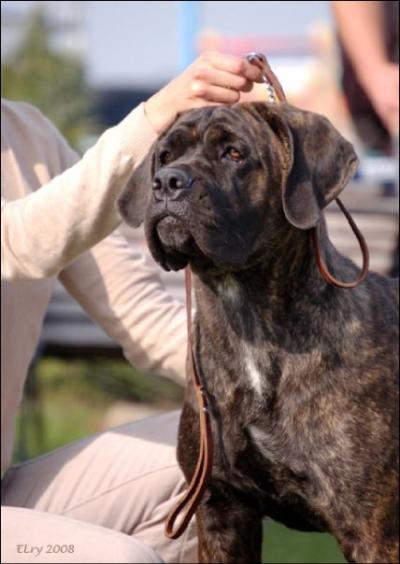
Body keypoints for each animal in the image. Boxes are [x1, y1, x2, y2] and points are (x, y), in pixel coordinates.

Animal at [118, 102, 399, 564]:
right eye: (164, 156)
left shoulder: (373, 533)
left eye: (234, 153)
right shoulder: (222, 510)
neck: (246, 320)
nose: (168, 182)